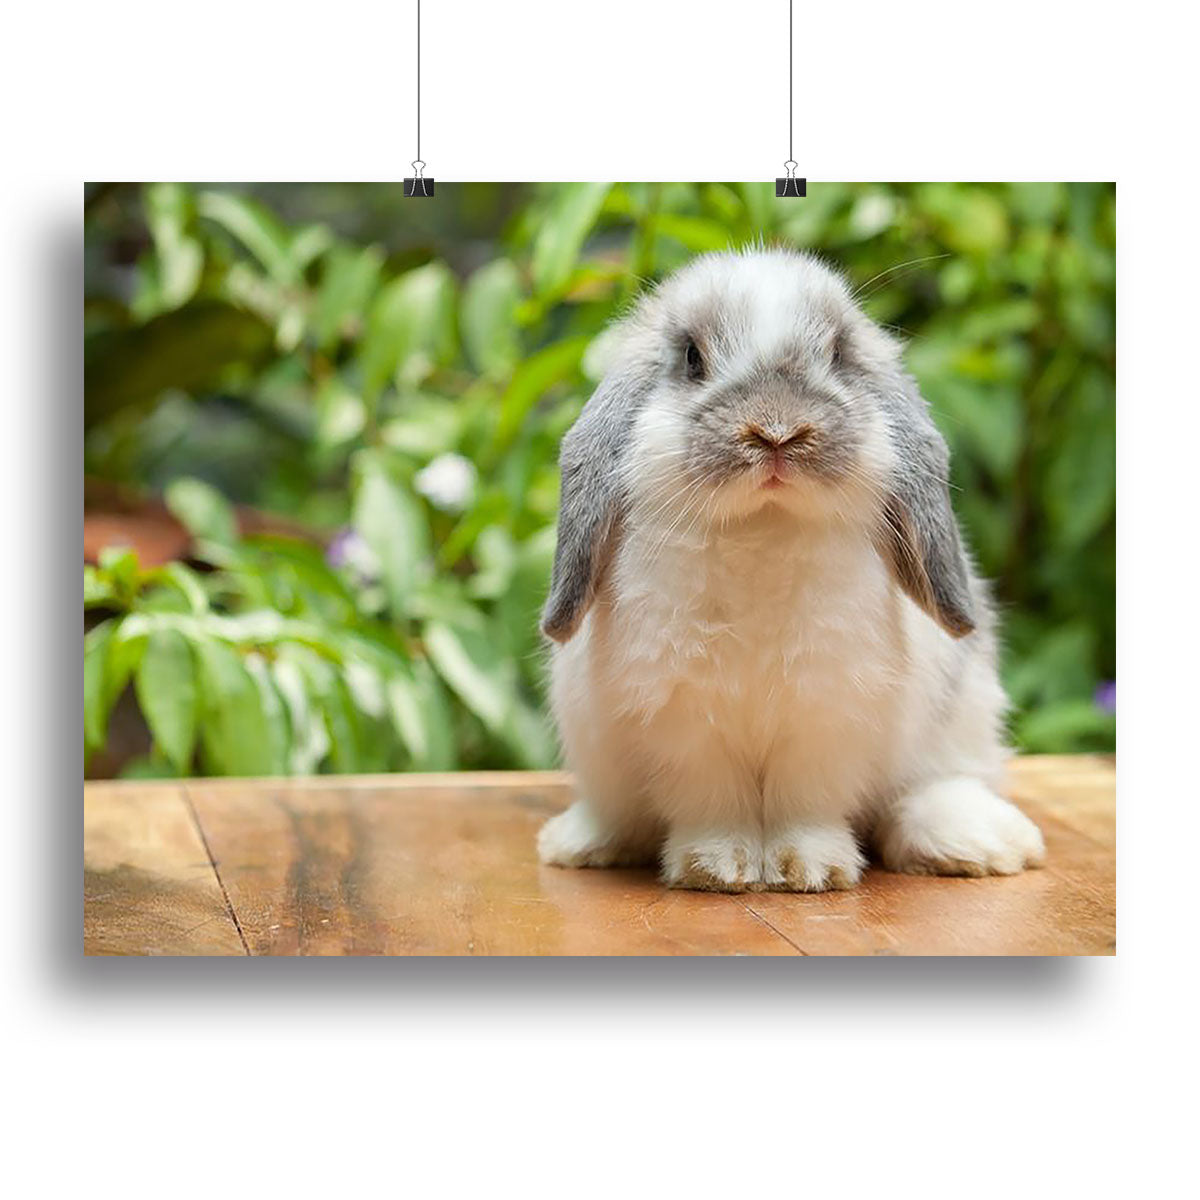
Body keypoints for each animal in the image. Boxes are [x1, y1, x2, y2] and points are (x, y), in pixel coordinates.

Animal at [536, 248, 1045, 893]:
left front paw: (809, 868)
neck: (763, 528)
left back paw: (978, 843)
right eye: (692, 358)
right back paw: (580, 842)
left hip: (962, 718)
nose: (777, 431)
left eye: (837, 354)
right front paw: (717, 867)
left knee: (933, 788)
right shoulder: (685, 721)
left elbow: (805, 802)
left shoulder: (826, 713)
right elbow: (713, 800)